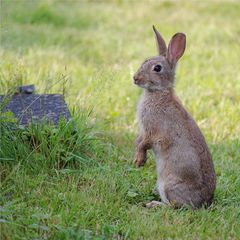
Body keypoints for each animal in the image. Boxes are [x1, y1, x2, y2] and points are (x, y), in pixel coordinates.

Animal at [134, 26, 217, 209]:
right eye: (144, 61)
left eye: (157, 68)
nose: (135, 78)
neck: (159, 92)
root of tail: (204, 202)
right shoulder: (144, 131)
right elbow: (139, 141)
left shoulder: (155, 131)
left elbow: (145, 143)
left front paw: (138, 161)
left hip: (168, 184)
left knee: (175, 207)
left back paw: (153, 204)